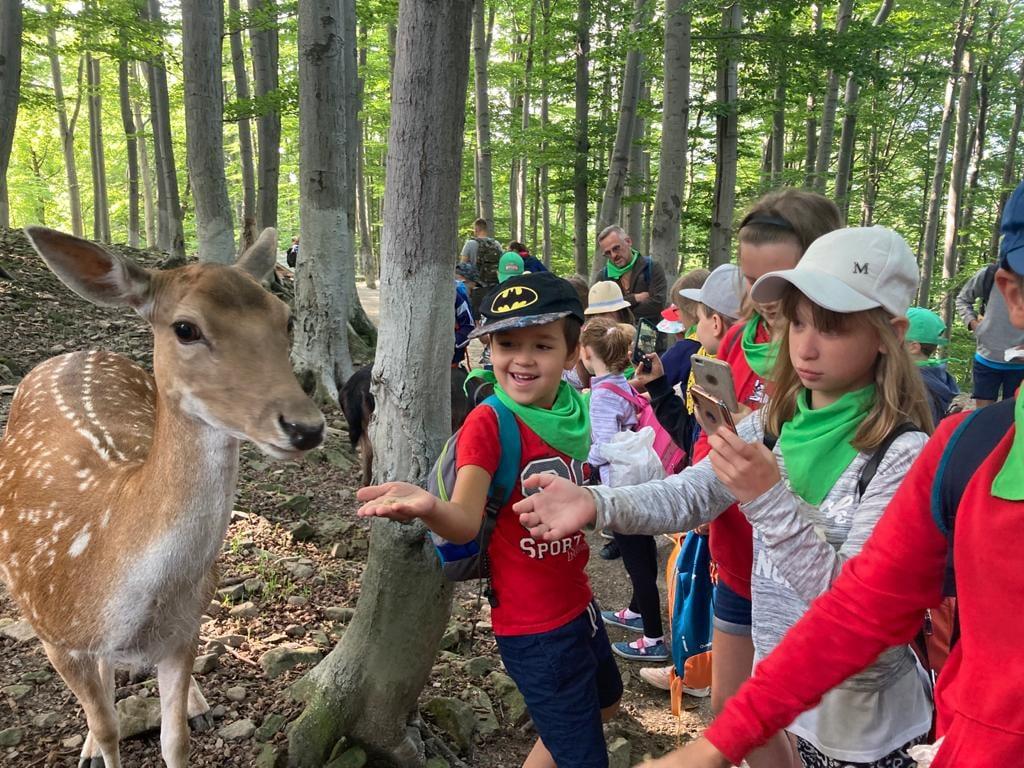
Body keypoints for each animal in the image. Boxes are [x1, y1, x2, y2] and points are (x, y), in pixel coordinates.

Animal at [0, 230, 323, 768]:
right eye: (185, 328)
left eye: (286, 318)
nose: (306, 427)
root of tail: (78, 352)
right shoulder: (53, 633)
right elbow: (107, 728)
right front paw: (97, 746)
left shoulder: (183, 630)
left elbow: (175, 741)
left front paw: (189, 716)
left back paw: (198, 705)